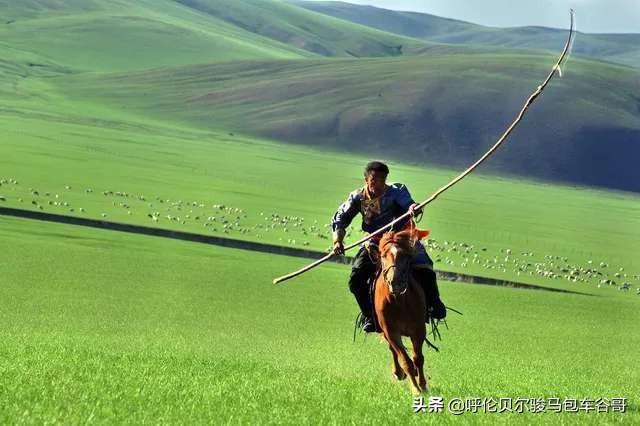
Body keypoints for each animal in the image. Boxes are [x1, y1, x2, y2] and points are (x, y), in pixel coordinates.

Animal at [370, 228, 430, 394]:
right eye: (383, 255)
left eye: (406, 256)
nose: (395, 282)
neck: (399, 301)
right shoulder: (391, 332)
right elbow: (405, 360)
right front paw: (415, 390)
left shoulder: (418, 330)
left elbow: (418, 358)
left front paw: (423, 386)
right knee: (393, 351)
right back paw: (398, 373)